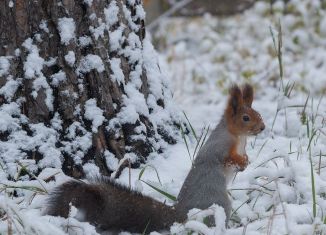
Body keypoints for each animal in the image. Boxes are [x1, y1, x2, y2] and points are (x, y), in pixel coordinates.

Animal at [45, 83, 264, 232]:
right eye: (246, 118)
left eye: (258, 113)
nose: (263, 127)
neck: (239, 138)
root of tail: (179, 214)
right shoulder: (218, 149)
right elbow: (225, 159)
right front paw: (241, 162)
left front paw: (247, 160)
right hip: (218, 203)